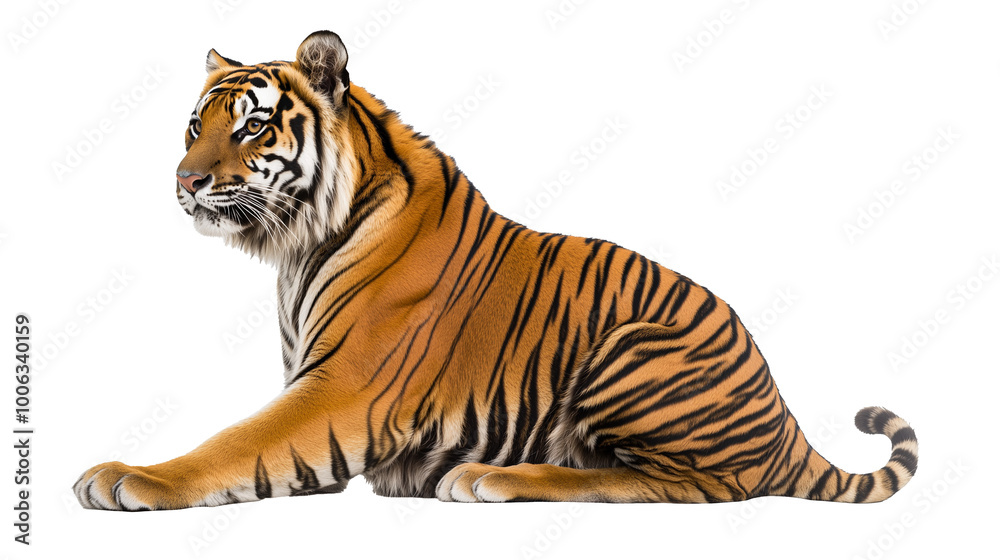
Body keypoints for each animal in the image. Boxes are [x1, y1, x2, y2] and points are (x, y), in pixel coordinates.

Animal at [74, 30, 918, 510]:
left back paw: (491, 479)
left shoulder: (340, 389)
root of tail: (784, 421)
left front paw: (130, 477)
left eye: (250, 127)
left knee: (694, 485)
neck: (297, 242)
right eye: (194, 125)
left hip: (632, 349)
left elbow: (233, 443)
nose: (184, 180)